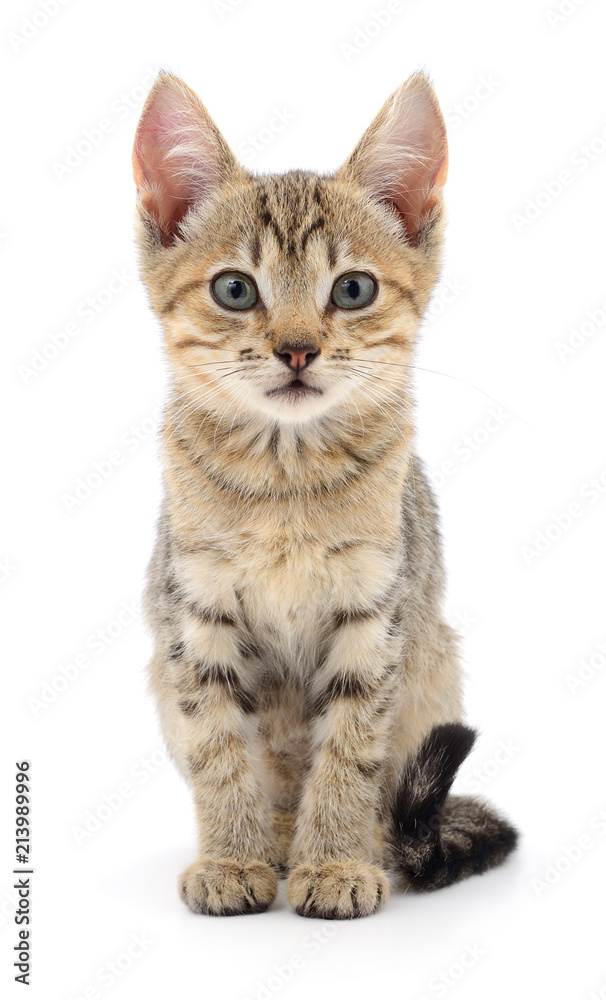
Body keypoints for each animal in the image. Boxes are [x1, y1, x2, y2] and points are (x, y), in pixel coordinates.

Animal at [132, 68, 516, 916]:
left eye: (353, 289)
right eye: (235, 289)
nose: (298, 348)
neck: (286, 478)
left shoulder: (375, 616)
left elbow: (349, 750)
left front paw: (335, 861)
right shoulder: (195, 617)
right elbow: (220, 748)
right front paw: (234, 856)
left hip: (435, 661)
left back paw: (357, 845)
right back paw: (275, 841)